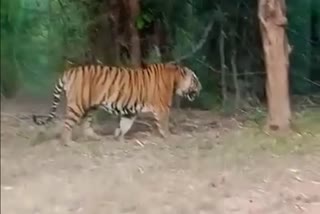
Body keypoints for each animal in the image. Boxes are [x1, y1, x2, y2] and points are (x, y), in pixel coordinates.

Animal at [33, 61, 202, 145]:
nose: (201, 87)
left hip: (90, 107)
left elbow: (125, 125)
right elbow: (164, 125)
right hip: (78, 105)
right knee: (67, 124)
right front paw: (170, 136)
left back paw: (96, 138)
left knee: (85, 124)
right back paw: (68, 143)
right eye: (195, 80)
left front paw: (118, 137)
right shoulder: (162, 108)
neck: (175, 79)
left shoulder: (131, 111)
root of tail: (69, 71)